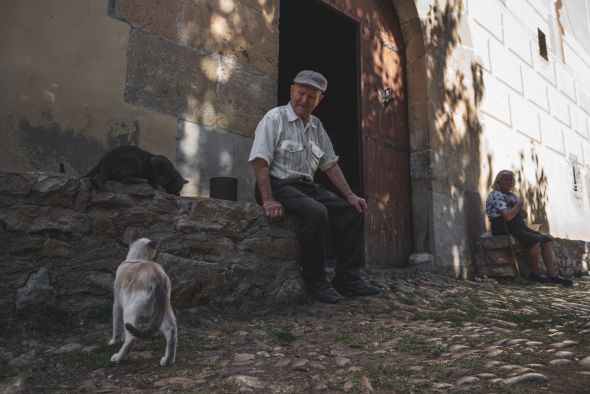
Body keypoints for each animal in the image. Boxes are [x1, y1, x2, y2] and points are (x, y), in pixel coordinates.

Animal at [109, 234, 178, 366]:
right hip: (164, 310)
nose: (156, 256)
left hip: (129, 310)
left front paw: (113, 342)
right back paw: (167, 361)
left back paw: (117, 358)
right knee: (171, 330)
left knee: (131, 337)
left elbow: (116, 326)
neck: (136, 258)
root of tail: (158, 277)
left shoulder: (117, 303)